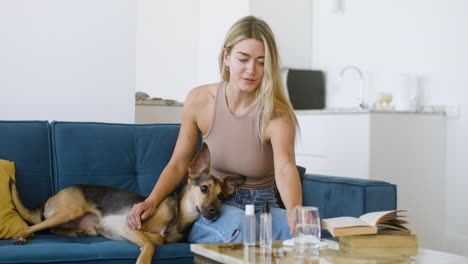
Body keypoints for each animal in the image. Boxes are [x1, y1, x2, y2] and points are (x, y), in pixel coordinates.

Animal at [10, 144, 245, 264]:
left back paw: (79, 233)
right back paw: (21, 235)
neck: (178, 215)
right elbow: (151, 244)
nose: (214, 212)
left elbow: (157, 240)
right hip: (69, 210)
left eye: (221, 196)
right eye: (204, 188)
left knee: (53, 228)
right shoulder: (128, 226)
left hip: (73, 218)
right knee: (37, 225)